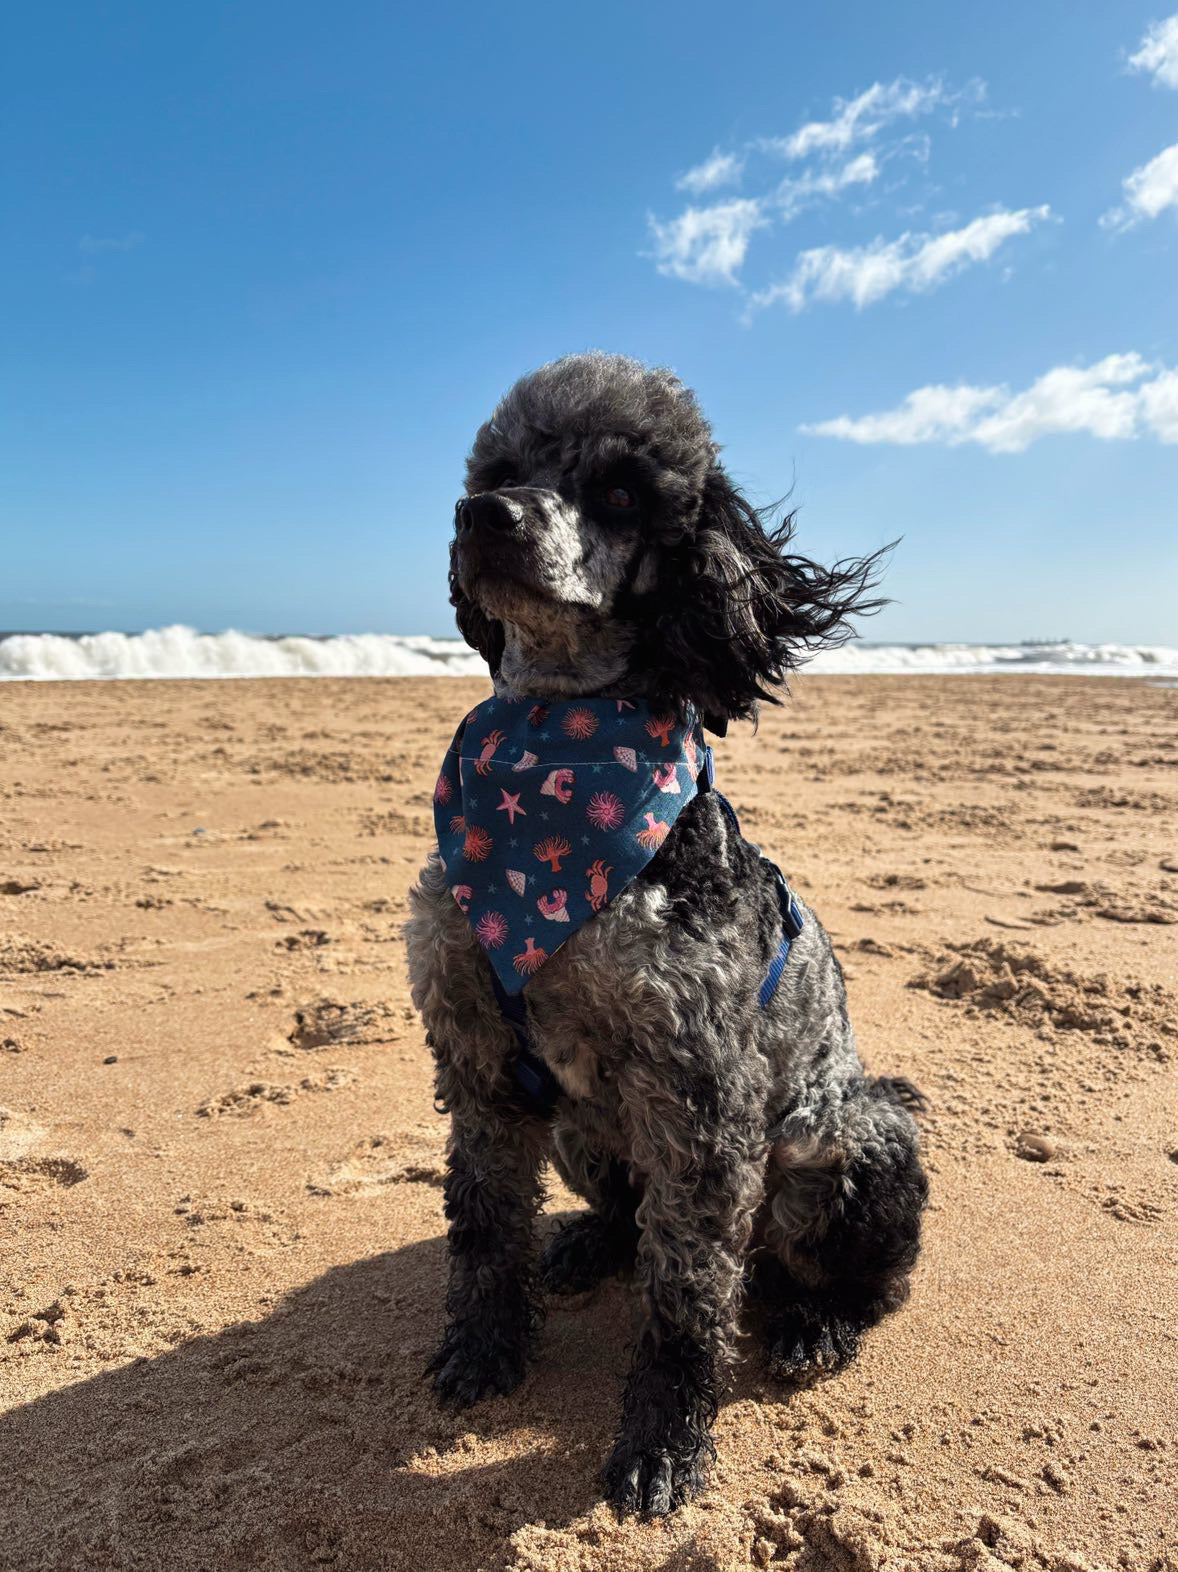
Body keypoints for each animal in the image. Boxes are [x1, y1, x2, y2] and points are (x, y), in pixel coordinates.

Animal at [405, 353, 931, 1509]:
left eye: (617, 492)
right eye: (497, 472)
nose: (484, 517)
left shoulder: (700, 1101)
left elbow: (686, 1304)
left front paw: (660, 1444)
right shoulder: (477, 1058)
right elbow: (482, 1229)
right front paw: (483, 1348)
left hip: (849, 1137)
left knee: (858, 1279)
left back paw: (812, 1326)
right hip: (575, 1128)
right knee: (624, 1217)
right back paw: (587, 1248)